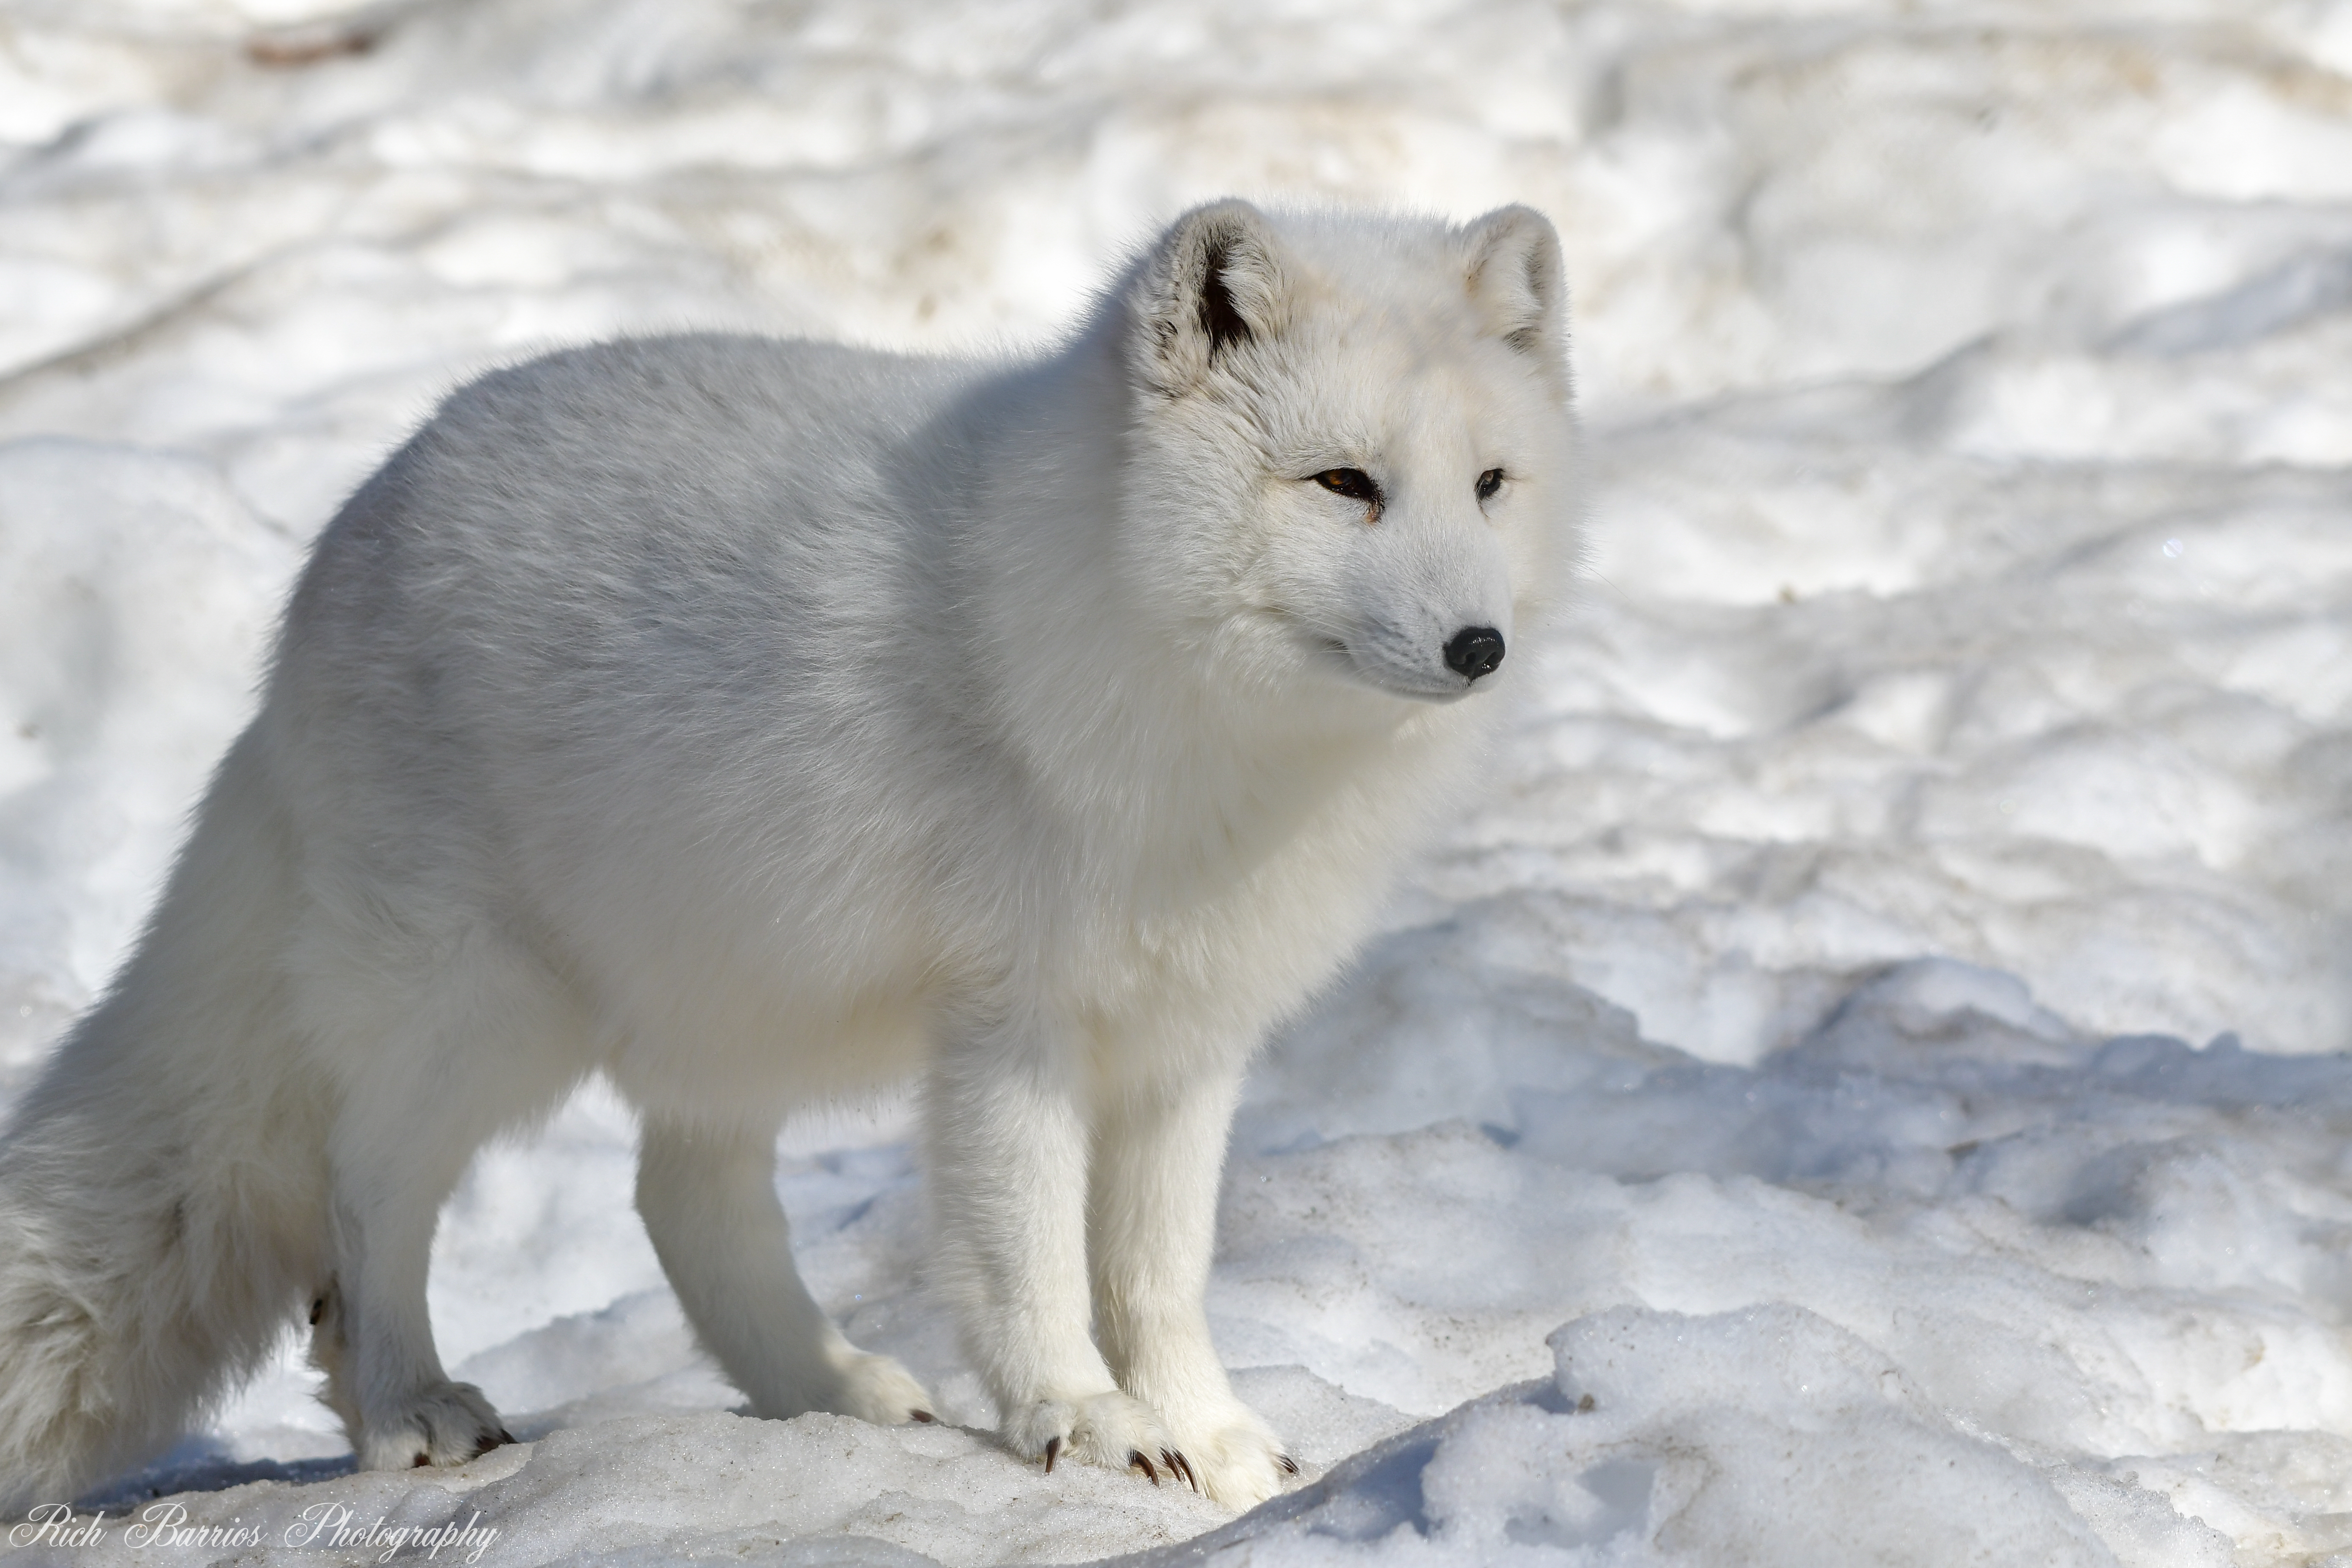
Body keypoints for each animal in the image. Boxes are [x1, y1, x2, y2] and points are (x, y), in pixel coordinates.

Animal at [4, 202, 1580, 1514]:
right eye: (1343, 484)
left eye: (1490, 485)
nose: (1477, 646)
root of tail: (338, 546)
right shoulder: (1012, 1024)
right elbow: (1031, 1259)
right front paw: (1079, 1420)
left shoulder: (1185, 1034)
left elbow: (1157, 1271)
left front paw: (1211, 1437)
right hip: (485, 1007)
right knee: (363, 1193)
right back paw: (407, 1404)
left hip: (737, 986)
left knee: (676, 1195)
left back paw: (832, 1396)